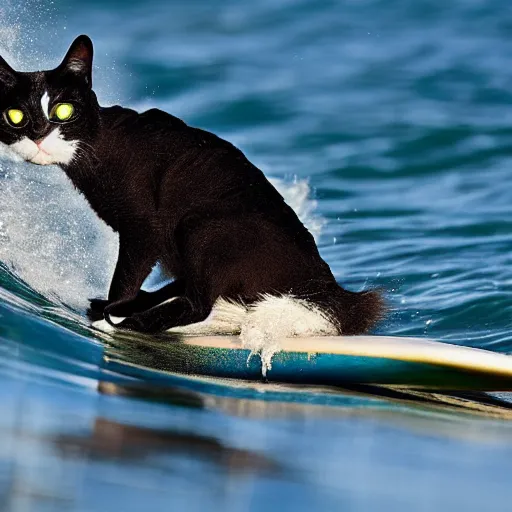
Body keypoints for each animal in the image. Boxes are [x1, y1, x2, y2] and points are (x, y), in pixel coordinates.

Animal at [0, 38, 384, 338]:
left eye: (63, 111)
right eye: (16, 117)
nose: (38, 136)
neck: (99, 143)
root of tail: (328, 288)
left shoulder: (144, 228)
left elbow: (126, 276)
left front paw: (114, 315)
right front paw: (114, 308)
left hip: (202, 226)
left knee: (201, 302)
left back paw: (129, 320)